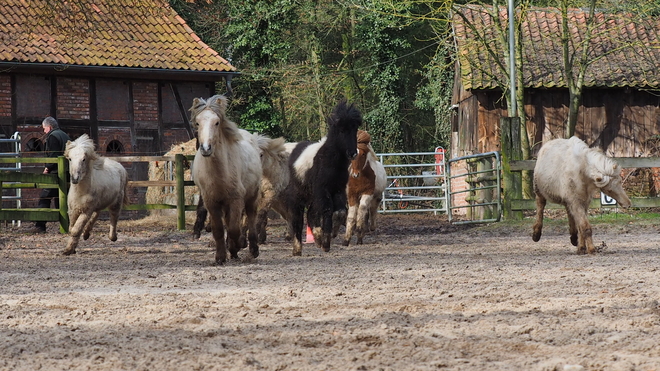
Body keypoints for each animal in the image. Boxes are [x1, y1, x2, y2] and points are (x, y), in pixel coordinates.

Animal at [189, 95, 262, 264]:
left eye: (217, 122)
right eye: (198, 122)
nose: (206, 148)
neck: (219, 173)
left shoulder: (236, 199)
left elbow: (234, 228)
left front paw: (237, 245)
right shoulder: (211, 202)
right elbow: (218, 230)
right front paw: (221, 256)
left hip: (252, 197)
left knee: (251, 218)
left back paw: (252, 250)